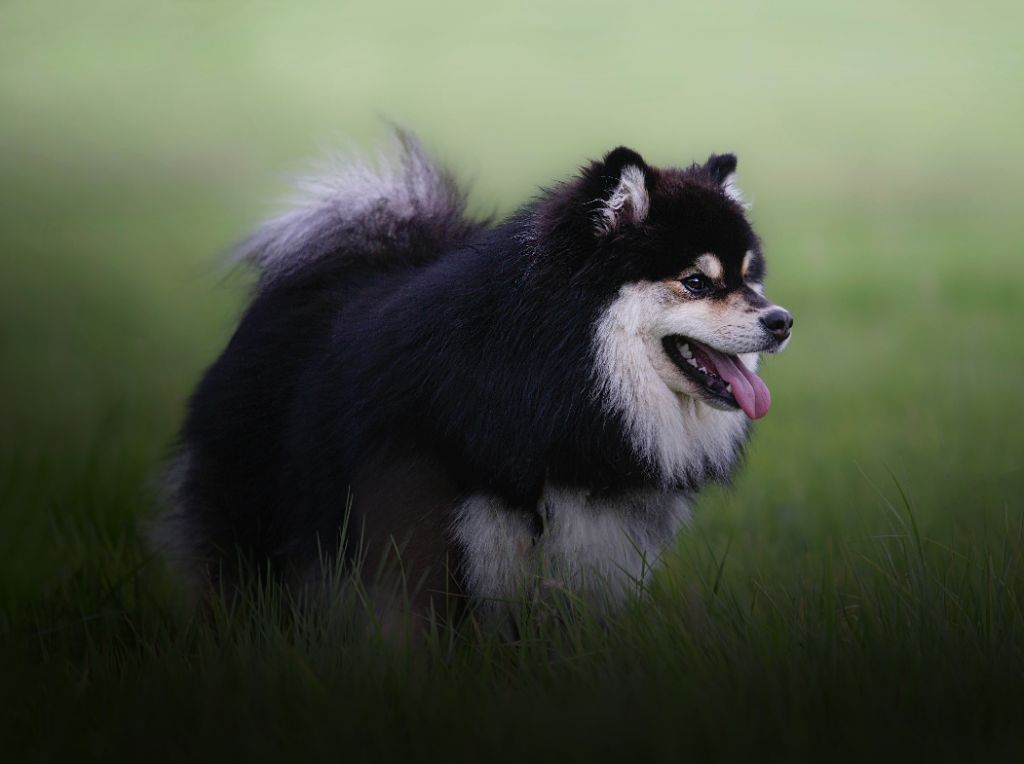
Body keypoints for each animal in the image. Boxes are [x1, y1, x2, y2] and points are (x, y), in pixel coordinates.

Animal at [151, 129, 790, 618]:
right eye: (696, 282)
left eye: (748, 276)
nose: (781, 320)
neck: (550, 388)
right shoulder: (451, 545)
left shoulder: (592, 551)